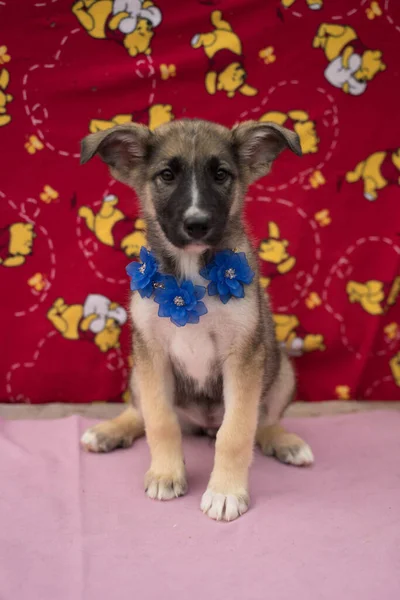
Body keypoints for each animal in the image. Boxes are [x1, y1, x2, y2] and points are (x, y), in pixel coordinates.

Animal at [79, 117, 314, 520]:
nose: (197, 224)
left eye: (221, 174)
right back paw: (109, 431)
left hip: (282, 370)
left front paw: (226, 492)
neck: (191, 272)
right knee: (139, 411)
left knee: (264, 421)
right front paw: (165, 474)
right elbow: (160, 421)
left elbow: (236, 433)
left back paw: (284, 441)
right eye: (167, 175)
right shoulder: (152, 353)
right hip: (137, 371)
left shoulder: (243, 358)